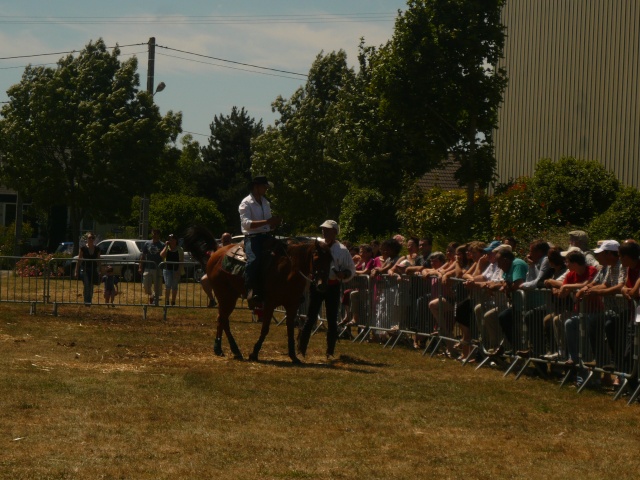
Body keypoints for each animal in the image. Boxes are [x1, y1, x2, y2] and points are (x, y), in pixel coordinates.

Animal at [185, 227, 332, 362]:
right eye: (316, 258)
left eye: (330, 259)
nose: (322, 285)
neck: (288, 270)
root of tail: (217, 252)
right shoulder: (269, 303)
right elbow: (265, 328)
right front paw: (254, 353)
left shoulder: (292, 305)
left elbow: (290, 329)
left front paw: (293, 356)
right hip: (225, 296)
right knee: (223, 319)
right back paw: (225, 349)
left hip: (229, 296)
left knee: (222, 319)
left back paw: (228, 350)